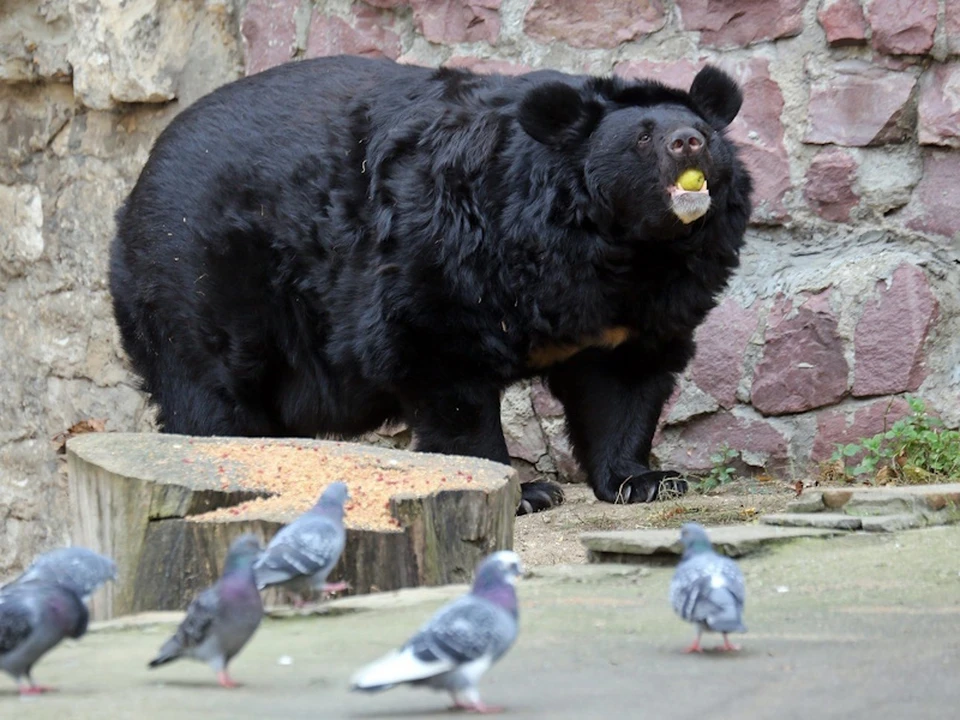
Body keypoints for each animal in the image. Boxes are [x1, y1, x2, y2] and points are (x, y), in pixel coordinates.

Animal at [110, 56, 752, 516]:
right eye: (642, 137)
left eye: (703, 130)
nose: (688, 142)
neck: (622, 248)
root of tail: (137, 184)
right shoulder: (450, 250)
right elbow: (445, 367)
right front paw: (524, 492)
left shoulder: (642, 304)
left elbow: (624, 382)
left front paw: (645, 481)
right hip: (199, 280)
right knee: (211, 394)